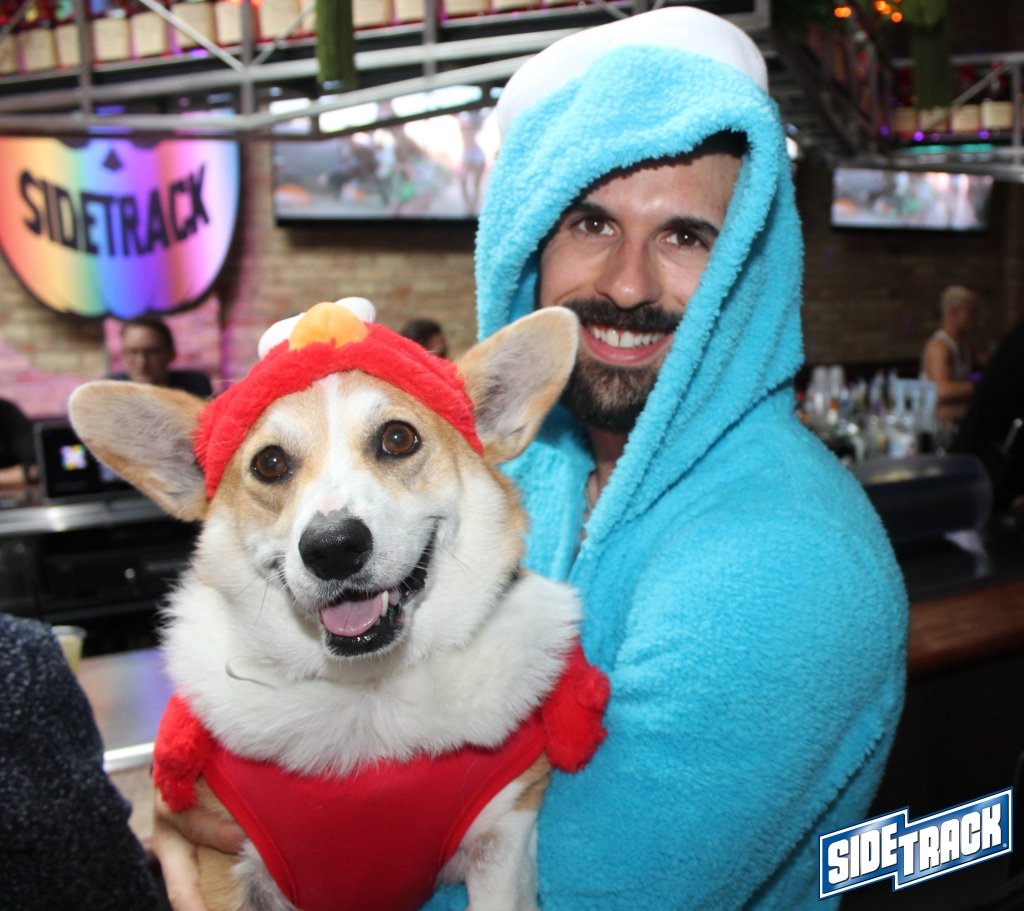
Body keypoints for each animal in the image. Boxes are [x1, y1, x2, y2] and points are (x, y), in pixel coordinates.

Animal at [69, 304, 607, 911]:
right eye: (270, 463)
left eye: (398, 438)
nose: (333, 548)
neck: (368, 693)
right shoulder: (224, 864)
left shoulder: (503, 843)